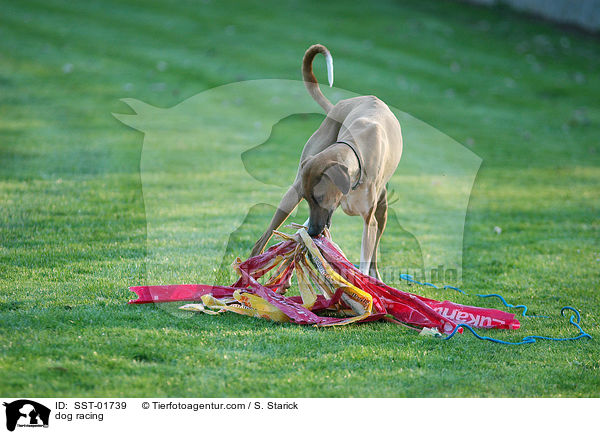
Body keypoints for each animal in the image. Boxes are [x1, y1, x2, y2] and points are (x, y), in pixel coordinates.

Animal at [251, 44, 400, 278]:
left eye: (319, 197)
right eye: (307, 199)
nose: (313, 232)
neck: (354, 149)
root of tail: (341, 104)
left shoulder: (369, 221)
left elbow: (366, 256)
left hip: (381, 210)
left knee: (375, 249)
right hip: (292, 193)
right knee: (260, 241)